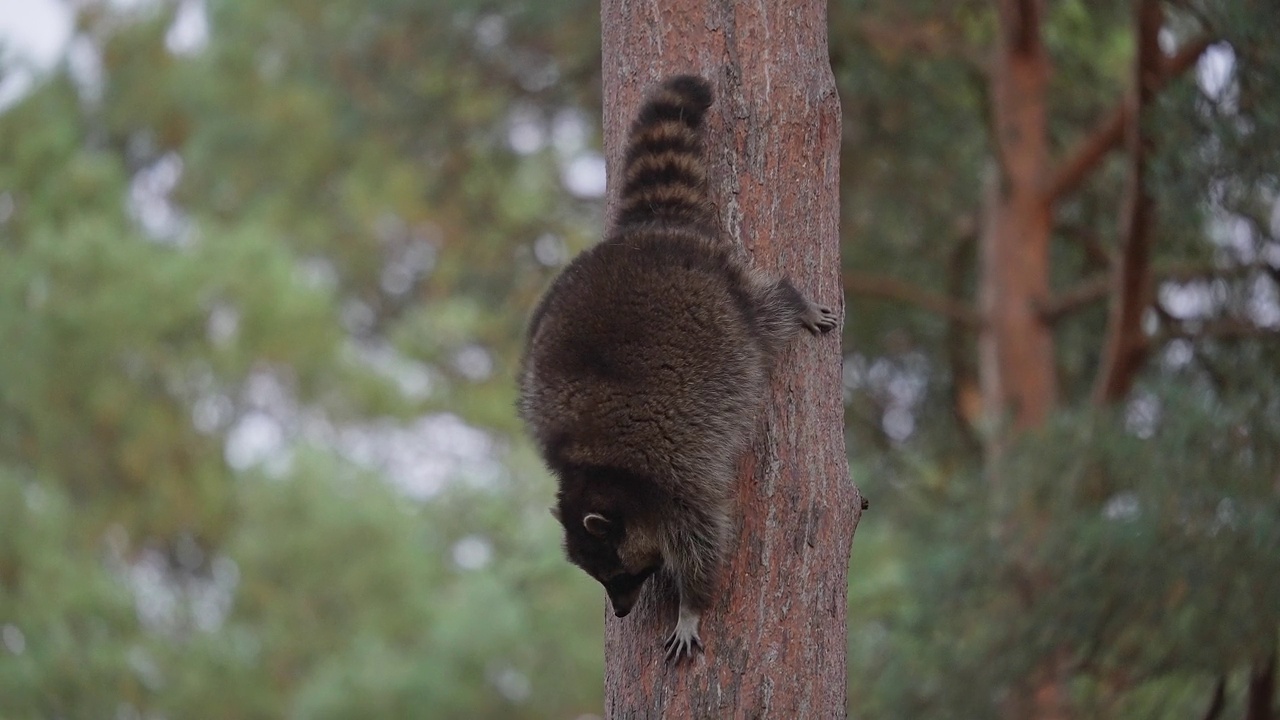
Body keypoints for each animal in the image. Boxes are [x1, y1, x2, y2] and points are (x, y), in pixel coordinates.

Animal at [519, 74, 839, 661]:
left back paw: (792, 301)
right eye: (602, 579)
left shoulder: (679, 482)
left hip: (725, 293)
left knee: (766, 314)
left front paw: (691, 605)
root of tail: (649, 231)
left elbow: (707, 544)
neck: (599, 472)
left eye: (619, 574)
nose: (621, 612)